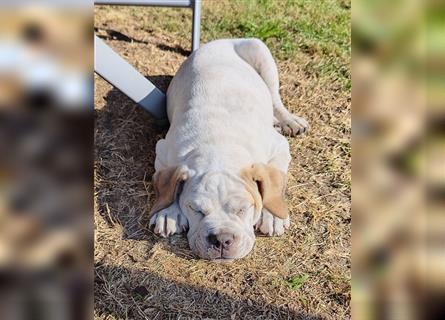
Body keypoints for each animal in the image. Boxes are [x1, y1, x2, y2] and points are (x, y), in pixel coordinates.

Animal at [147, 38, 306, 262]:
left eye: (242, 209)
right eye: (196, 210)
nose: (221, 239)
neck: (219, 145)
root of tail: (219, 41)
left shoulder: (279, 146)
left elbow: (272, 184)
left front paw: (272, 213)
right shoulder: (163, 150)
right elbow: (168, 185)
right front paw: (168, 211)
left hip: (259, 51)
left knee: (275, 98)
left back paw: (288, 120)